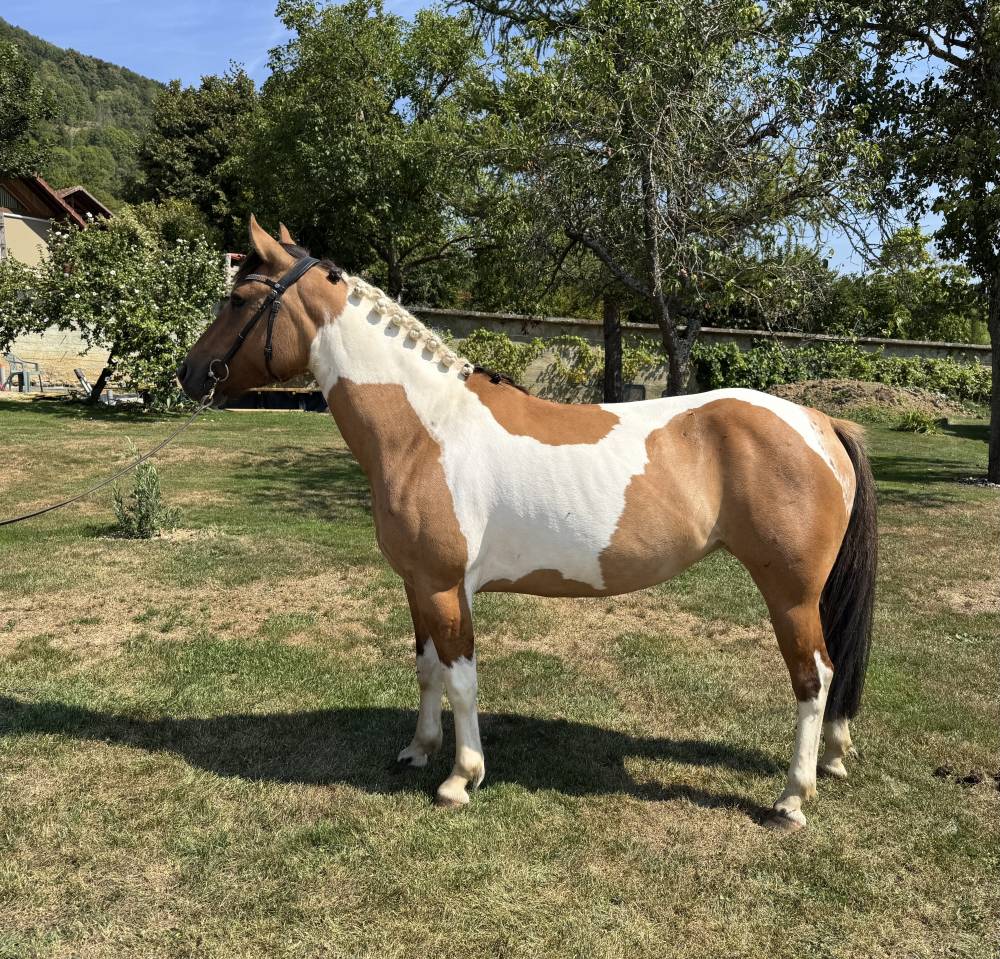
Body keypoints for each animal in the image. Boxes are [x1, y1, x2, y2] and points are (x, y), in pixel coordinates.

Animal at [178, 216, 877, 831]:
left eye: (238, 299)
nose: (188, 374)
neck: (424, 428)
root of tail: (819, 422)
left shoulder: (445, 586)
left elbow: (461, 679)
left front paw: (461, 777)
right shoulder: (417, 584)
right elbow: (427, 668)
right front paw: (418, 750)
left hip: (790, 593)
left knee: (814, 678)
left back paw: (792, 797)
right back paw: (834, 760)